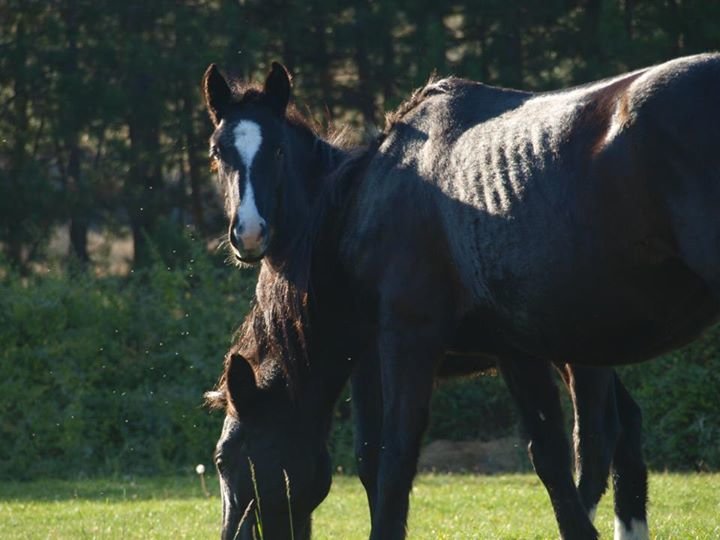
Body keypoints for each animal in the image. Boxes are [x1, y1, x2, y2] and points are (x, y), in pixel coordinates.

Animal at [202, 56, 720, 540]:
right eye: (218, 152)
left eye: (225, 459)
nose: (249, 234)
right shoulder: (515, 349)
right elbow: (548, 455)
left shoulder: (400, 344)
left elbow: (385, 459)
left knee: (598, 437)